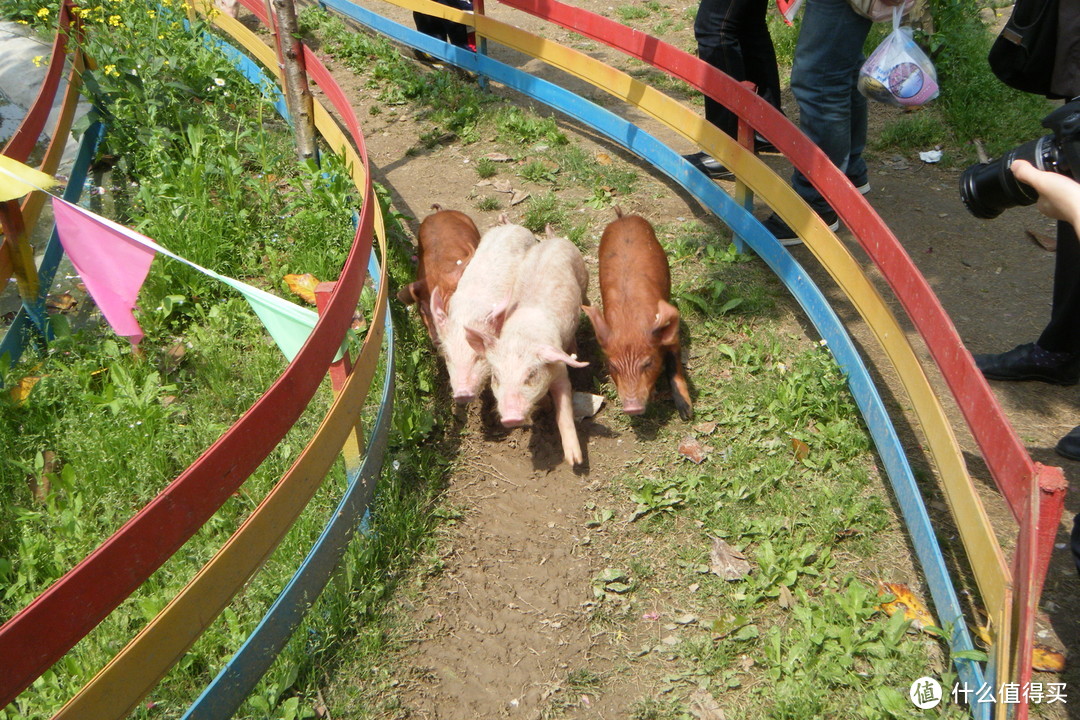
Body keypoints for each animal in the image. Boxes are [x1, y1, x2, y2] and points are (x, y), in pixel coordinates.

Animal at [462, 231, 587, 468]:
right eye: (496, 378)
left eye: (530, 375)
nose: (511, 417)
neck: (522, 338)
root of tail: (554, 239)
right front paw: (545, 406)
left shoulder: (559, 368)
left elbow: (565, 411)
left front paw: (575, 462)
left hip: (584, 275)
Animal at [583, 211, 691, 418]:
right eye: (613, 366)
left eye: (648, 363)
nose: (632, 408)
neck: (629, 323)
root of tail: (623, 218)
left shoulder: (671, 336)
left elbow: (675, 367)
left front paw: (687, 413)